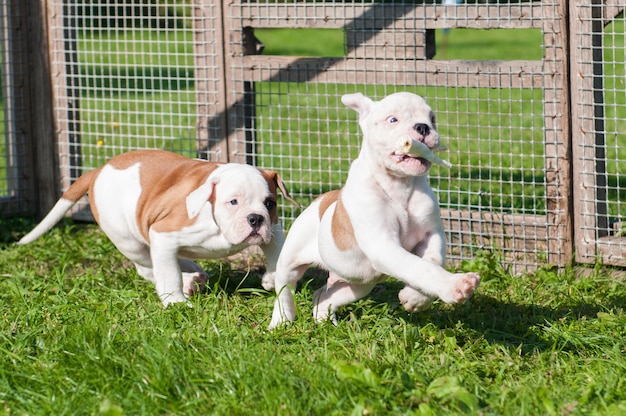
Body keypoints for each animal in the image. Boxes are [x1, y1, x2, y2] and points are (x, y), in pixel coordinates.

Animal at [17, 150, 294, 306]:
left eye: (269, 203)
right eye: (233, 202)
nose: (255, 219)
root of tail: (98, 170)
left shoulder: (274, 231)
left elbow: (277, 252)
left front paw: (271, 278)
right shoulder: (164, 234)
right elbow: (167, 274)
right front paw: (175, 301)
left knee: (168, 262)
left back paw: (194, 273)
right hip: (130, 241)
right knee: (147, 267)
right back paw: (188, 280)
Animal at [266, 92, 478, 328]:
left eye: (432, 119)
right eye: (392, 119)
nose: (423, 127)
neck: (400, 184)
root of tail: (322, 198)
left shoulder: (431, 234)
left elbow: (432, 261)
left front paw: (415, 298)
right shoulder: (383, 244)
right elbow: (417, 267)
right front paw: (455, 285)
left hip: (359, 284)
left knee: (323, 295)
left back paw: (325, 322)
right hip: (290, 262)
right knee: (284, 291)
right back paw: (280, 322)